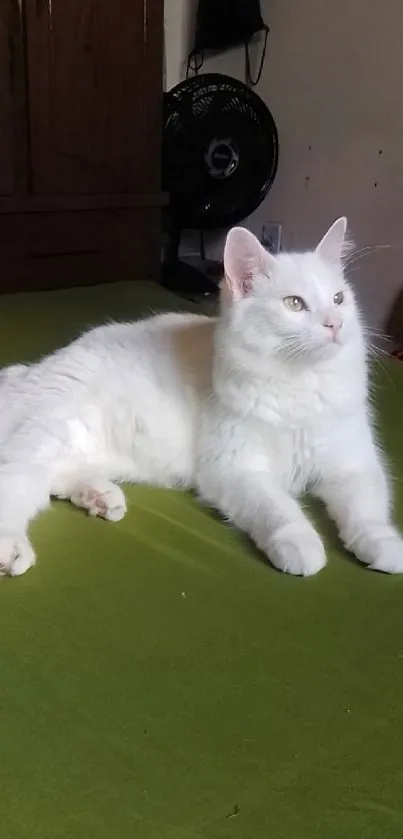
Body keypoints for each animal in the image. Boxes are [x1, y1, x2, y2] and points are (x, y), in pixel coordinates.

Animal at [0, 218, 402, 576]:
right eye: (294, 304)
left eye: (339, 298)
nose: (336, 323)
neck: (300, 385)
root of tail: (28, 372)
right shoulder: (238, 470)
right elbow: (280, 510)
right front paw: (301, 547)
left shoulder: (354, 463)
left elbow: (366, 513)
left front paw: (383, 546)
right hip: (48, 436)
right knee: (17, 482)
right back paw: (12, 549)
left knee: (55, 478)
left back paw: (101, 498)